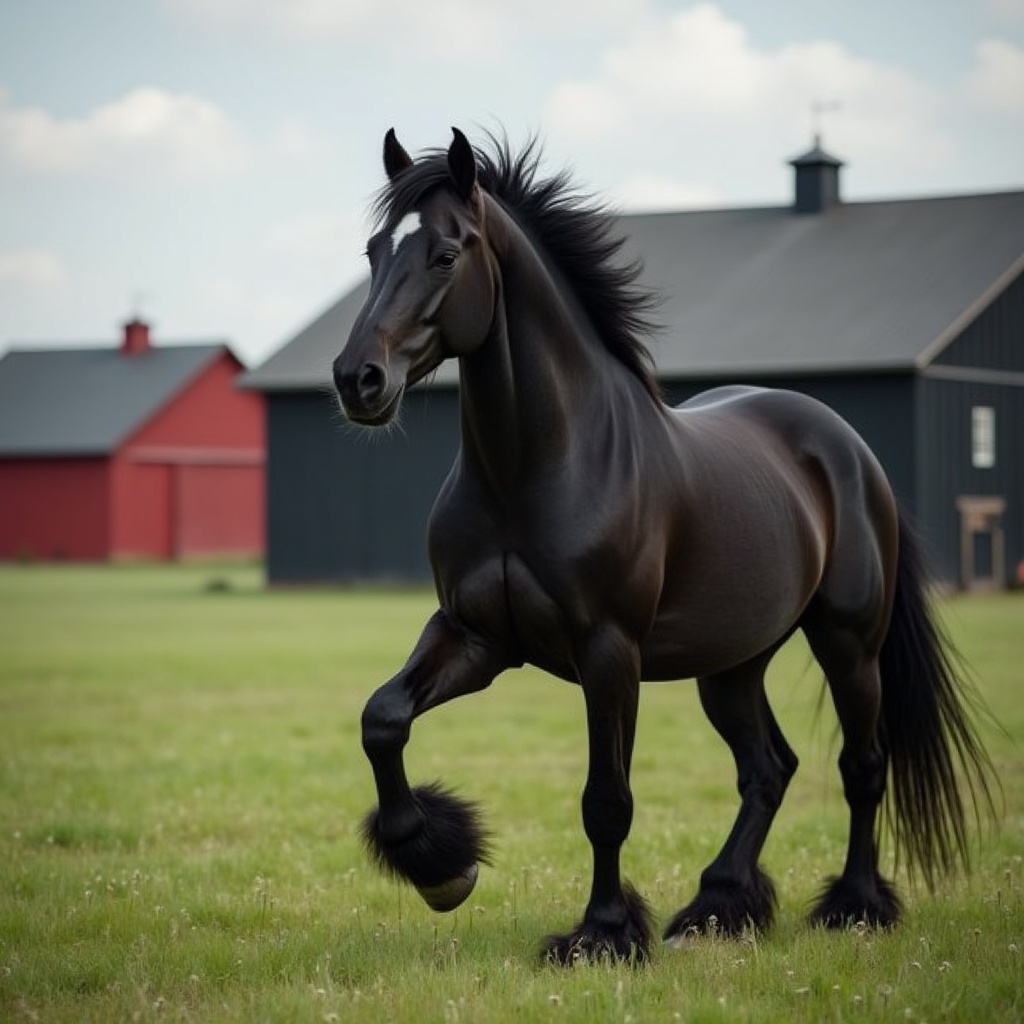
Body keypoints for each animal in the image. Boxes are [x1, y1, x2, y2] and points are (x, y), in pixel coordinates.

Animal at [332, 128, 996, 964]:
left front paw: (602, 935)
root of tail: (847, 447)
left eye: (447, 254)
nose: (357, 380)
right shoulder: (476, 638)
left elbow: (606, 800)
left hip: (849, 644)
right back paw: (718, 906)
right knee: (768, 768)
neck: (537, 467)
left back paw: (853, 906)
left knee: (861, 766)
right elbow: (382, 718)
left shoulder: (609, 652)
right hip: (733, 664)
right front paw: (440, 867)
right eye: (373, 250)